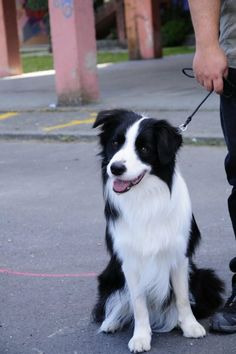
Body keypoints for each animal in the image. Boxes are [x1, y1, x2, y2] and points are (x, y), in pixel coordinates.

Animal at [91, 109, 223, 352]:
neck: (145, 198)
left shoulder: (180, 255)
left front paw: (190, 326)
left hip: (205, 275)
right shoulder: (129, 261)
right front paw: (141, 336)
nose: (115, 168)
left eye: (144, 148)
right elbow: (138, 303)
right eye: (115, 143)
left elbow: (182, 296)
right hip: (109, 274)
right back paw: (111, 322)